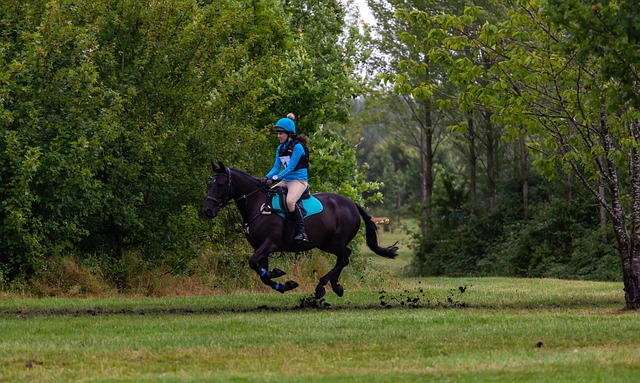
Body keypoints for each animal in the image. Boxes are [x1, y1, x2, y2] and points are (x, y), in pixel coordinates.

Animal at [202, 163, 398, 300]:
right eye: (211, 183)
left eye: (221, 184)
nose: (208, 211)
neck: (258, 205)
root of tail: (352, 204)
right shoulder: (260, 247)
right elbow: (261, 273)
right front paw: (284, 283)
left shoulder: (270, 244)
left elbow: (253, 264)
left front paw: (278, 274)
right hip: (325, 243)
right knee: (345, 256)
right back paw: (335, 286)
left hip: (336, 241)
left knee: (343, 258)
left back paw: (322, 287)